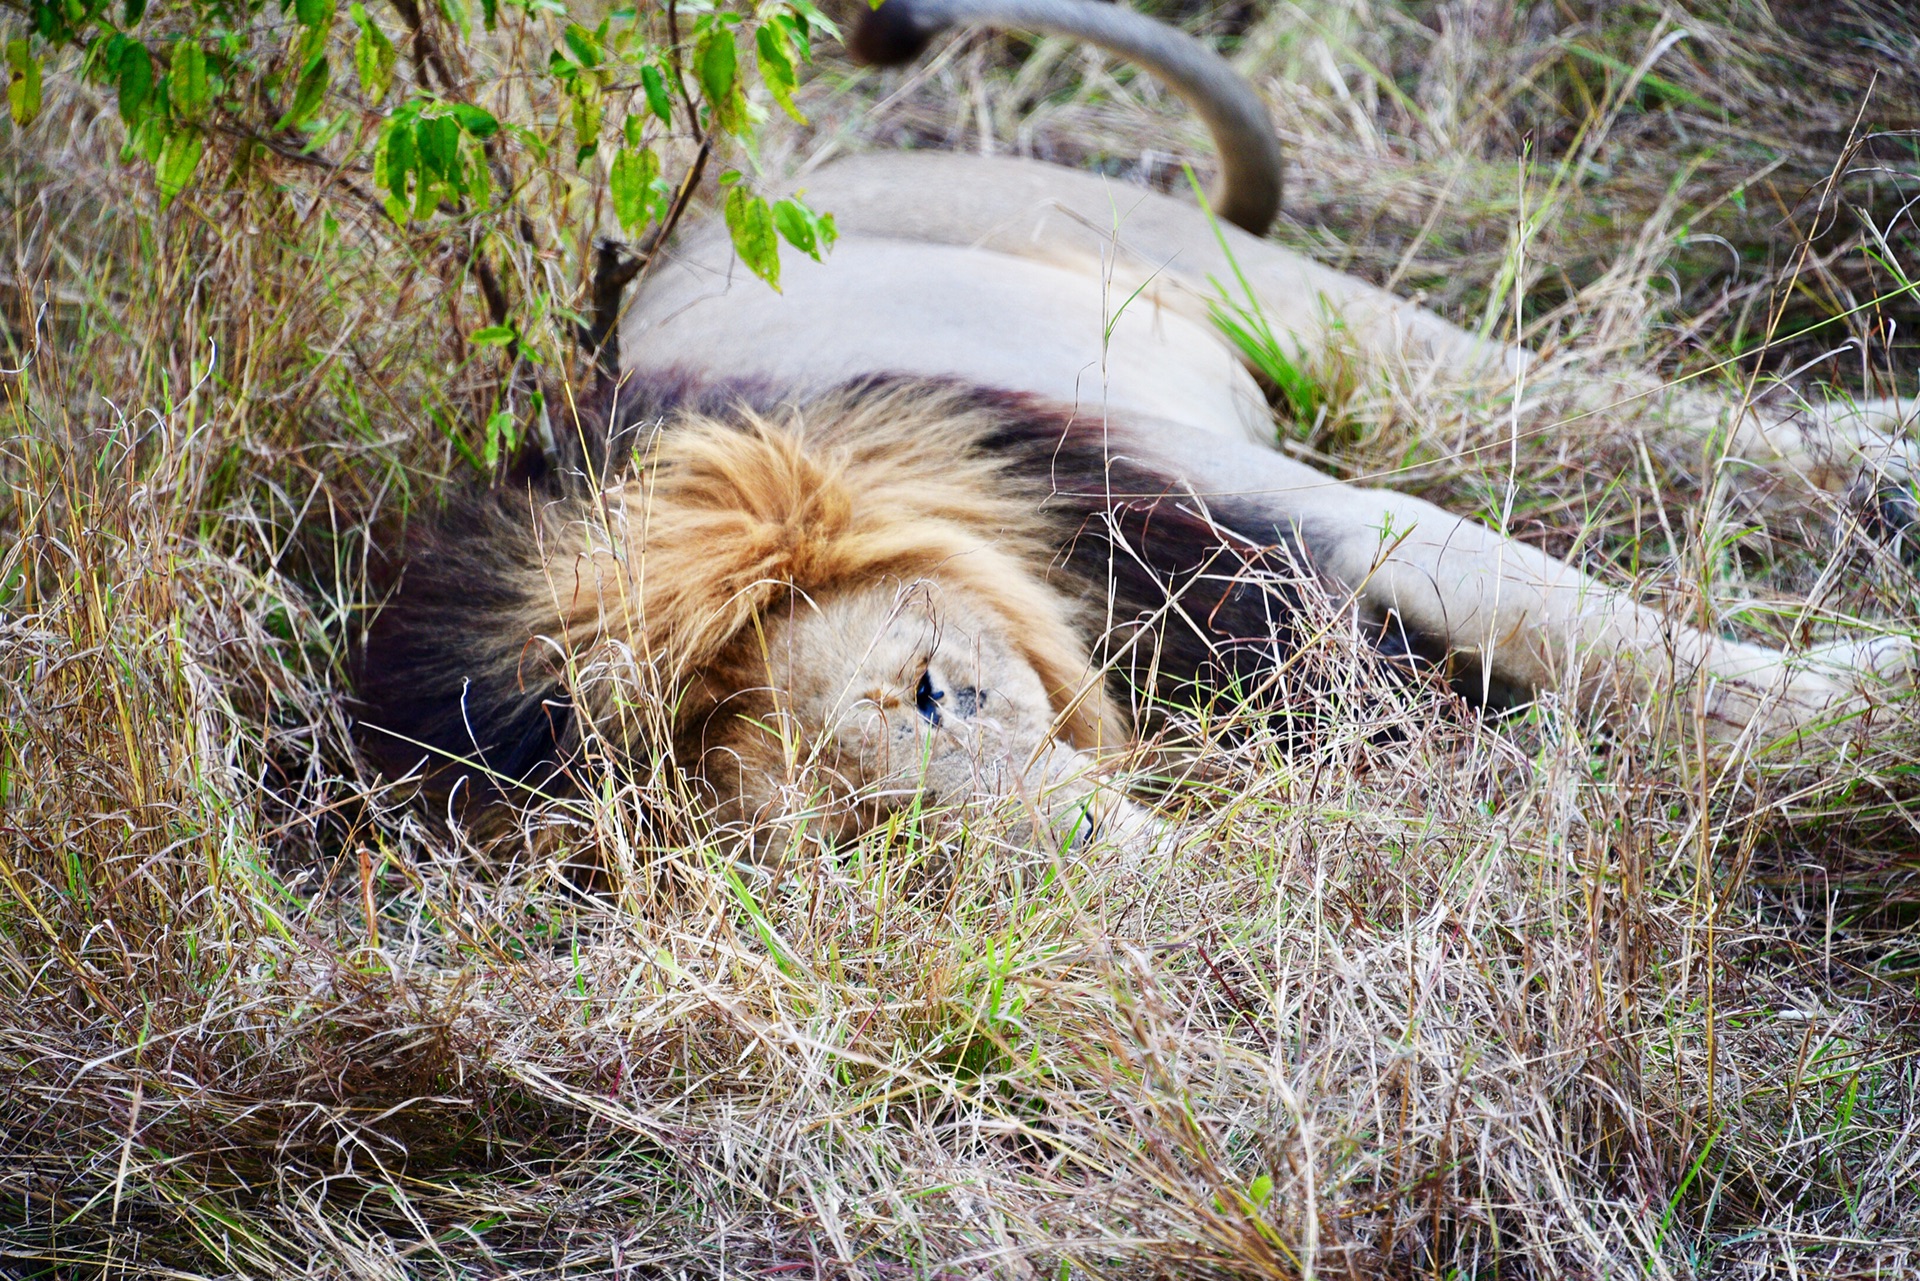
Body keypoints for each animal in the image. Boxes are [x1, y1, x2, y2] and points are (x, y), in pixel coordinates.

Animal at [357, 0, 1904, 856]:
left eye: (938, 690)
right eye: (863, 840)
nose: (1100, 867)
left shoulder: (1270, 508)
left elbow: (1615, 639)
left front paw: (1877, 699)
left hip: (1267, 296)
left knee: (1611, 398)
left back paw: (1885, 459)